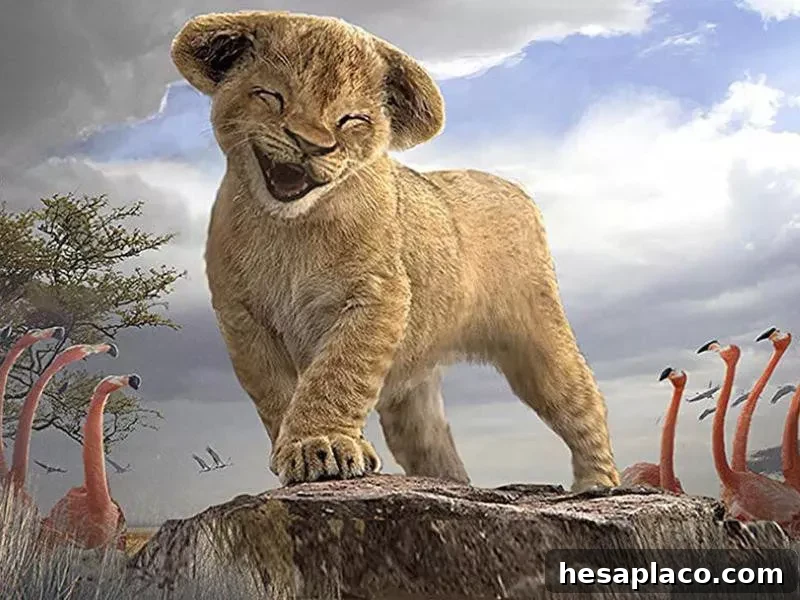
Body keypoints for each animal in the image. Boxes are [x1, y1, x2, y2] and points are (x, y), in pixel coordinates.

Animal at [170, 10, 620, 491]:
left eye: (351, 119)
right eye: (271, 96)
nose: (312, 145)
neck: (289, 229)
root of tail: (513, 185)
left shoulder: (378, 294)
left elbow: (339, 371)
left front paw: (323, 444)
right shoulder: (242, 318)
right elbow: (275, 392)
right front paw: (300, 448)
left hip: (538, 339)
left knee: (582, 402)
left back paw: (597, 485)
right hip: (414, 388)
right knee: (433, 444)